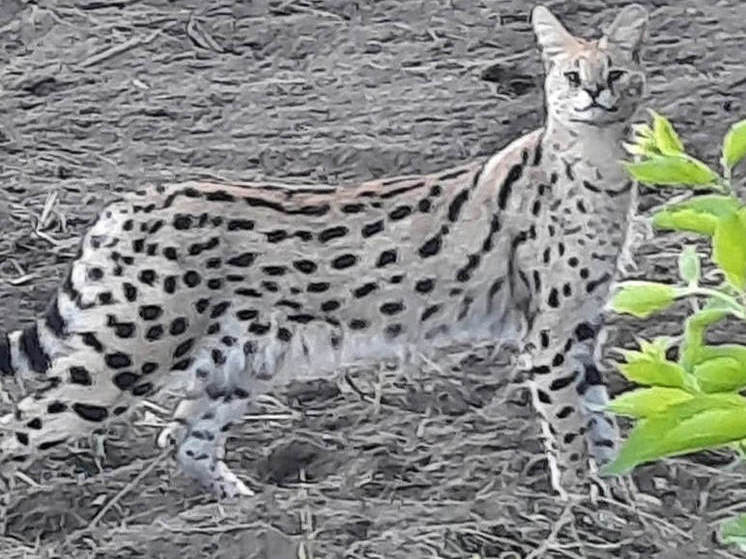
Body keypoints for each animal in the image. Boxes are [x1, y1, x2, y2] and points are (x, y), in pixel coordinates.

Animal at [0, 5, 644, 498]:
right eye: (570, 76)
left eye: (617, 72)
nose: (594, 93)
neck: (602, 166)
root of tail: (129, 202)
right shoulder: (550, 335)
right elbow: (569, 429)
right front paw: (579, 510)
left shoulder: (582, 327)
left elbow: (606, 423)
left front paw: (627, 505)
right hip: (125, 356)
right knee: (19, 430)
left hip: (240, 357)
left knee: (181, 438)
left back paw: (248, 510)